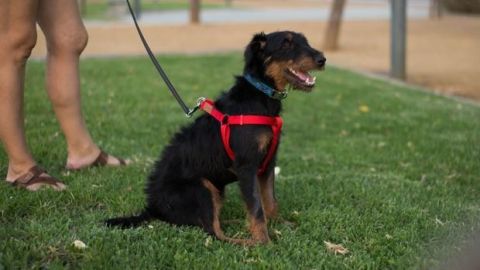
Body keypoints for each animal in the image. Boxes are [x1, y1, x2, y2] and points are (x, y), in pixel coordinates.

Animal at [106, 31, 326, 245]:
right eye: (286, 44)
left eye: (306, 41)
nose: (322, 59)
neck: (259, 94)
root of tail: (154, 208)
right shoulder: (247, 166)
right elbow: (256, 208)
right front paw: (265, 241)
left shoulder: (268, 162)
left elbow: (270, 201)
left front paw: (278, 224)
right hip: (202, 188)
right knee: (214, 232)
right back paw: (247, 241)